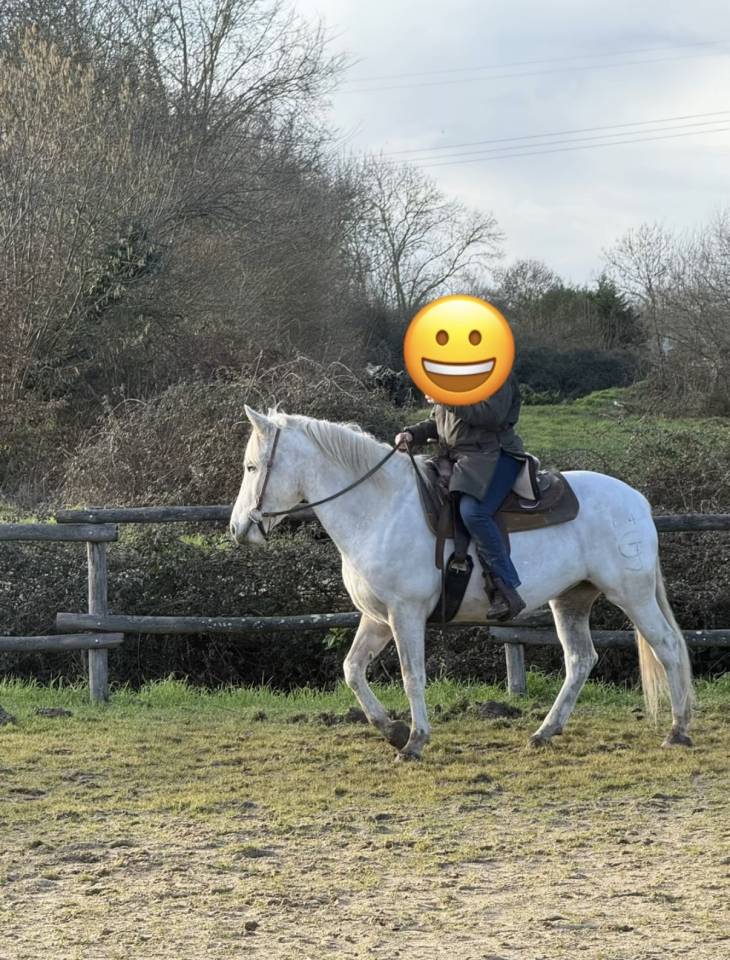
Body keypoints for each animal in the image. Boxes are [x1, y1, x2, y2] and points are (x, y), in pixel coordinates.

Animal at [230, 407, 694, 760]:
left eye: (252, 467)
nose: (238, 529)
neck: (380, 509)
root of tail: (637, 501)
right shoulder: (376, 618)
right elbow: (352, 670)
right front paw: (392, 731)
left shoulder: (406, 614)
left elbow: (412, 675)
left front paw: (414, 742)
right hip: (571, 600)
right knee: (581, 660)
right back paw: (544, 732)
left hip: (631, 595)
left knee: (668, 647)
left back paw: (678, 730)